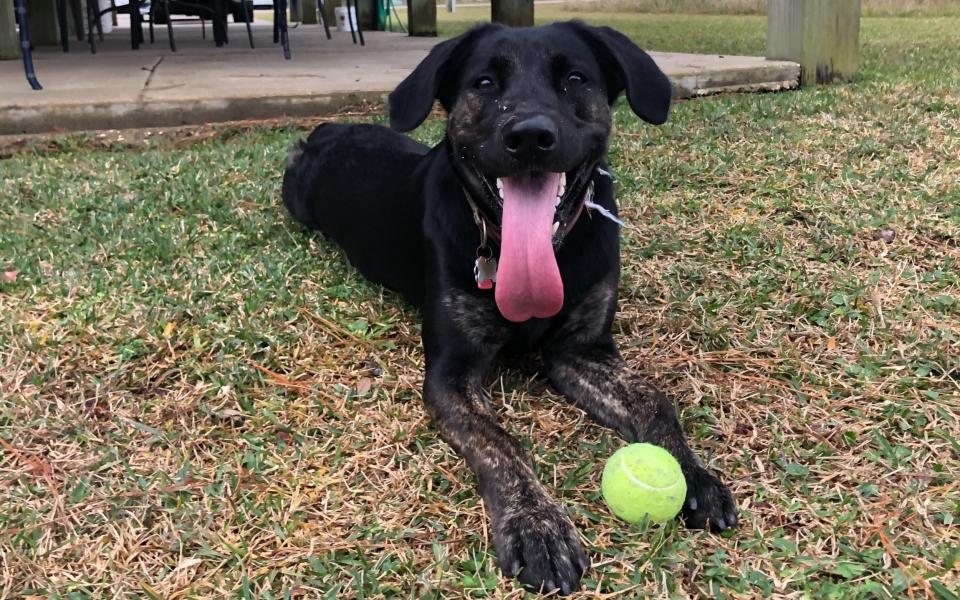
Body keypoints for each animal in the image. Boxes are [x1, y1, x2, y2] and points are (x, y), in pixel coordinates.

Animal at [282, 21, 740, 592]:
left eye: (574, 77)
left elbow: (654, 399)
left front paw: (694, 474)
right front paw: (537, 525)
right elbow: (500, 442)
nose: (529, 136)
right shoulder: (451, 374)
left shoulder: (582, 350)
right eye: (483, 82)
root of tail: (328, 130)